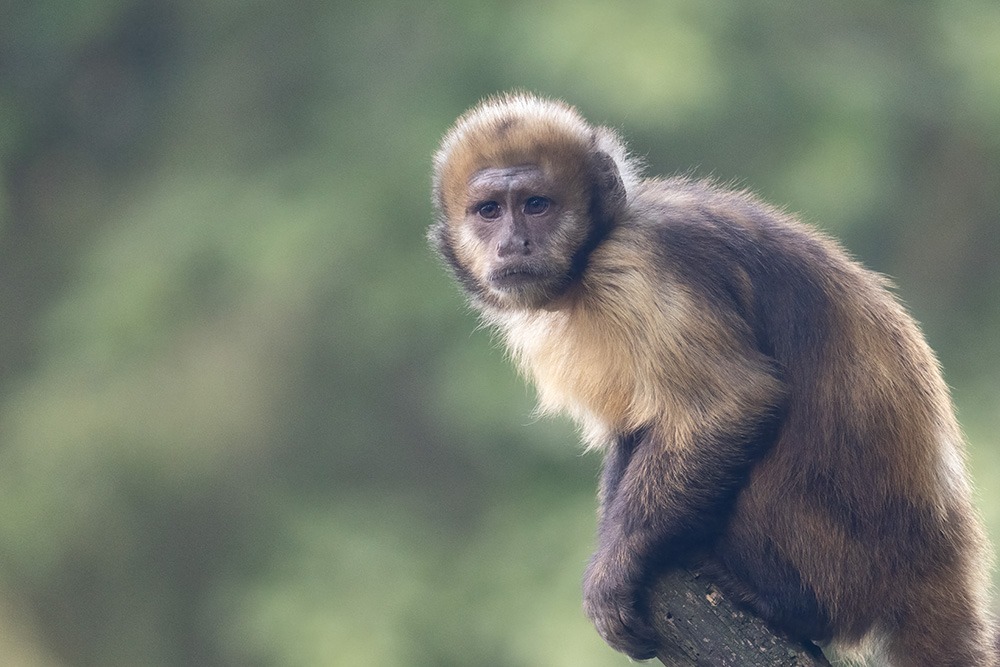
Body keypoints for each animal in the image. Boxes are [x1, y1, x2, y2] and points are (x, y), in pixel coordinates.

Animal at [426, 94, 996, 667]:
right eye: (489, 211)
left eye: (536, 205)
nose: (513, 243)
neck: (593, 254)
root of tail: (943, 555)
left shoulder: (640, 266)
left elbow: (731, 405)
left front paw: (615, 570)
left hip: (856, 565)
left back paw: (791, 605)